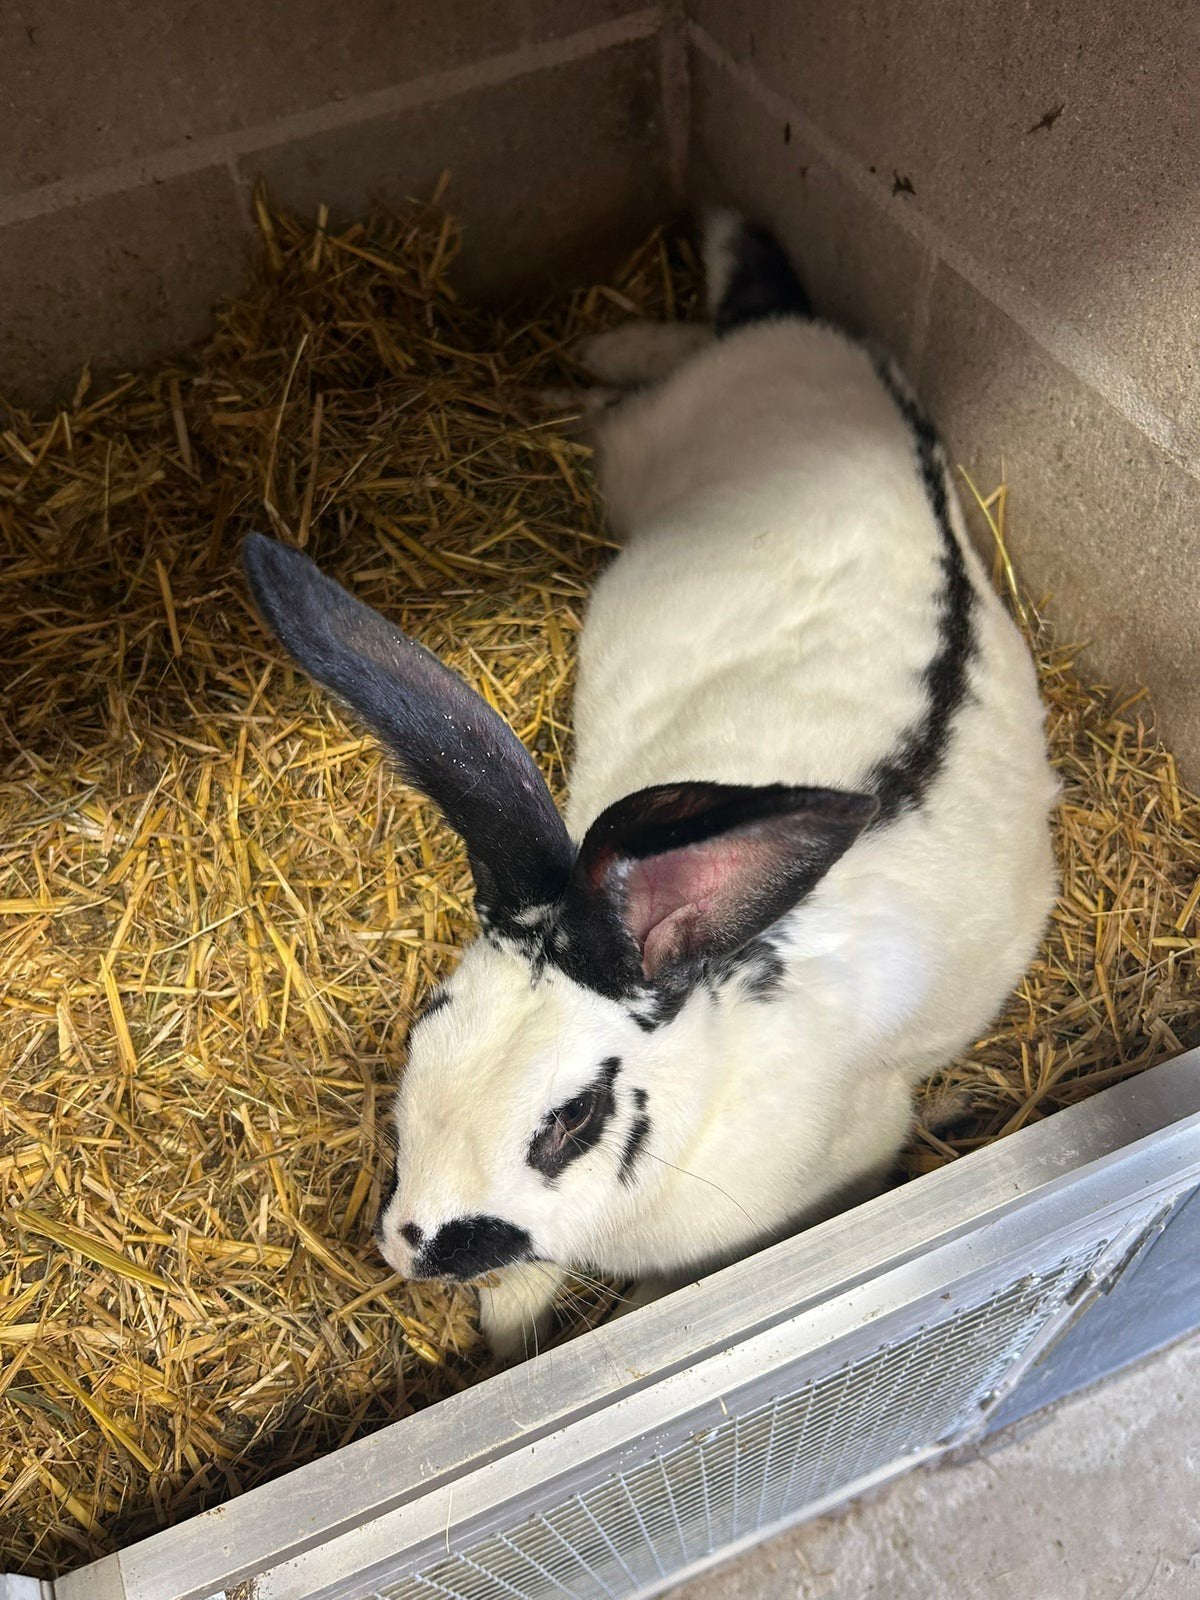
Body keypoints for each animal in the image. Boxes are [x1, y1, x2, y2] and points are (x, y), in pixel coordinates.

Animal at [243, 212, 1057, 1364]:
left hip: (651, 450)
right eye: (424, 1024)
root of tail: (805, 345)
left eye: (571, 1121)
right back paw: (591, 355)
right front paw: (507, 1334)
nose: (408, 1246)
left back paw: (577, 373)